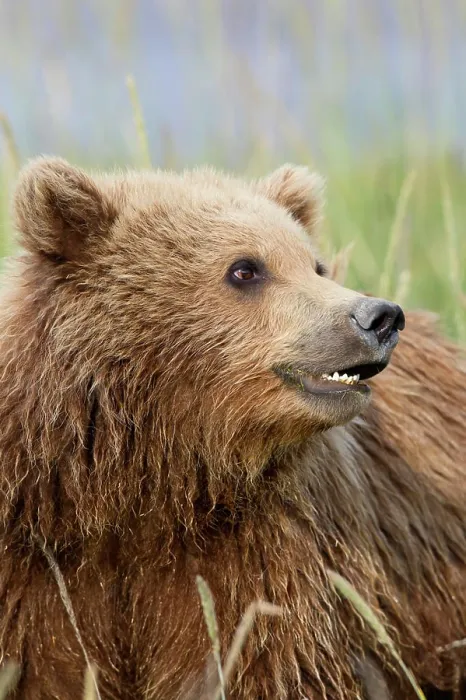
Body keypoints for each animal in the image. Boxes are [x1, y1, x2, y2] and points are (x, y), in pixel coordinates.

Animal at [0, 156, 464, 700]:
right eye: (245, 268)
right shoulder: (35, 559)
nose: (380, 316)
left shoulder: (260, 553)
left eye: (316, 265)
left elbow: (268, 661)